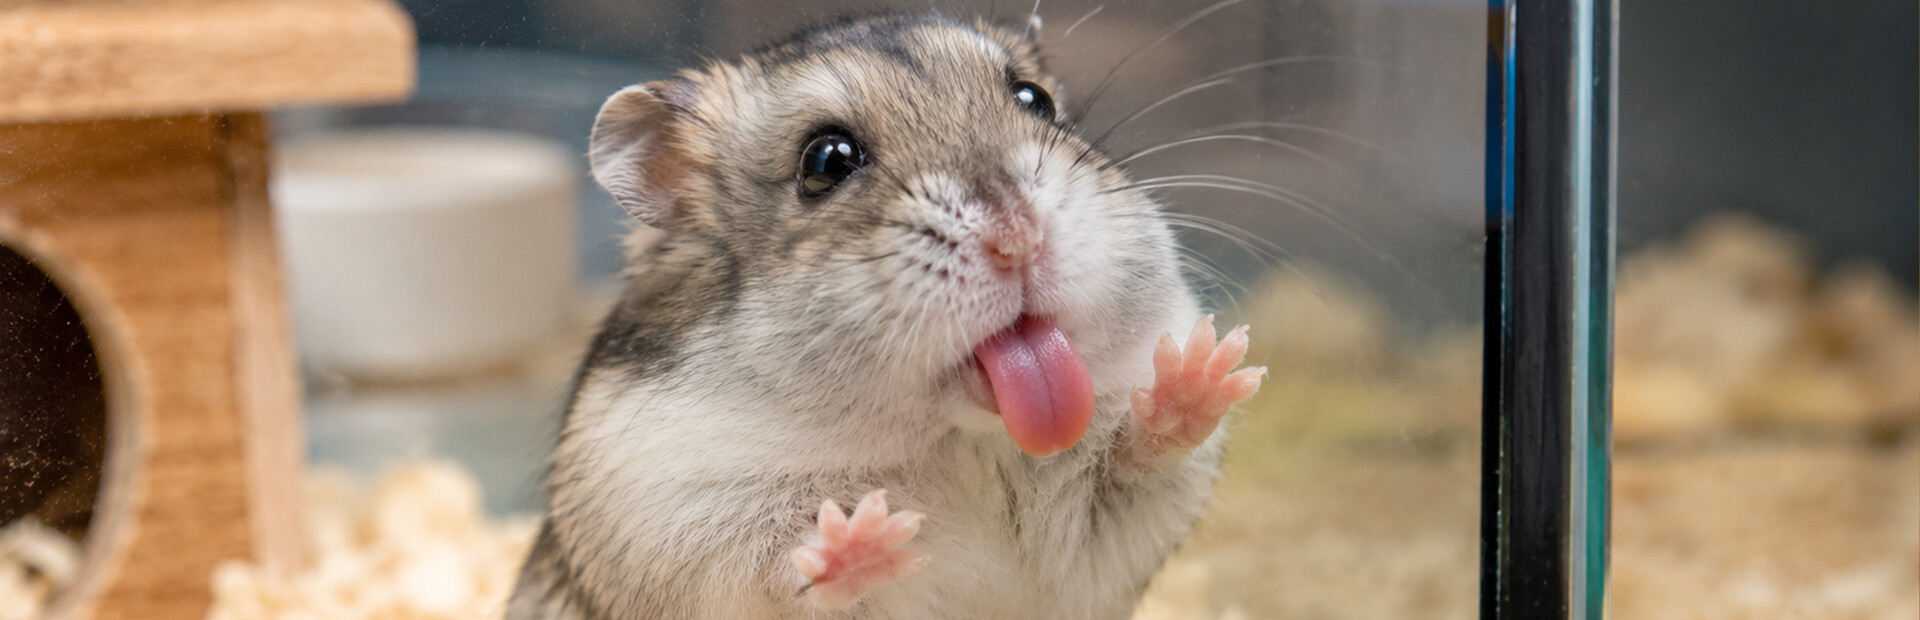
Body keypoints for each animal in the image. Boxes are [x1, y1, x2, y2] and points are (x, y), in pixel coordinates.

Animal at [509, 13, 1266, 620]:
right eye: (826, 159)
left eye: (1035, 99)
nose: (1017, 238)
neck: (960, 437)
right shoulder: (685, 524)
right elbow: (787, 570)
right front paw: (865, 534)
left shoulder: (1120, 517)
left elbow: (1139, 454)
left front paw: (1206, 369)